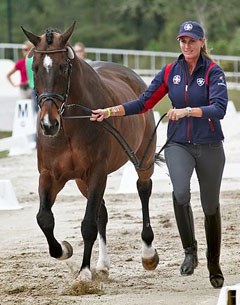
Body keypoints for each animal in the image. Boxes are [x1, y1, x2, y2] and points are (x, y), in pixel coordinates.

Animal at [21, 22, 159, 280]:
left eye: (64, 67)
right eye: (34, 67)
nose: (48, 124)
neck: (69, 126)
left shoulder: (97, 172)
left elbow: (88, 225)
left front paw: (84, 273)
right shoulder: (50, 175)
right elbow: (44, 218)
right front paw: (64, 250)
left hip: (143, 159)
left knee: (143, 190)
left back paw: (148, 254)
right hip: (81, 181)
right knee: (102, 212)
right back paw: (102, 264)